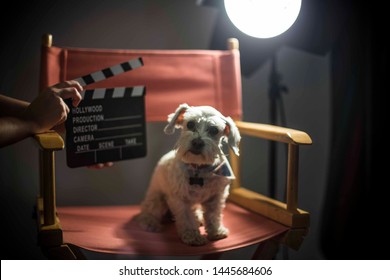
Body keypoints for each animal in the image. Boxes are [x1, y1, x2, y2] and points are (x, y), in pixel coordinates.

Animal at [137, 103, 241, 245]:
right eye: (190, 124)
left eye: (214, 130)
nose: (197, 142)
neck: (198, 168)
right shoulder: (180, 199)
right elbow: (186, 219)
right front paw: (193, 236)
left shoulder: (216, 197)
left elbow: (213, 215)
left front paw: (216, 231)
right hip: (157, 200)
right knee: (148, 212)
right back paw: (150, 223)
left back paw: (198, 218)